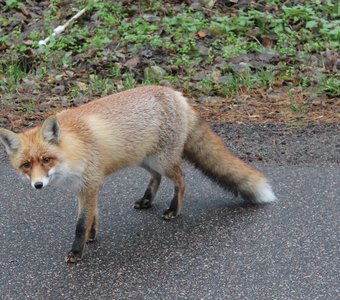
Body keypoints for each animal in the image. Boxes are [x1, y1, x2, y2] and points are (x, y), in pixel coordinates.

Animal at [0, 85, 274, 262]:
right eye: (26, 165)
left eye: (46, 159)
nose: (37, 185)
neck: (73, 150)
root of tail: (176, 94)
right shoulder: (86, 187)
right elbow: (93, 217)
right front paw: (92, 237)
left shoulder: (90, 183)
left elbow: (81, 224)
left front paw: (78, 251)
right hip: (144, 159)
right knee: (157, 178)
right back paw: (147, 200)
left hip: (163, 160)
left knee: (181, 179)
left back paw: (174, 210)